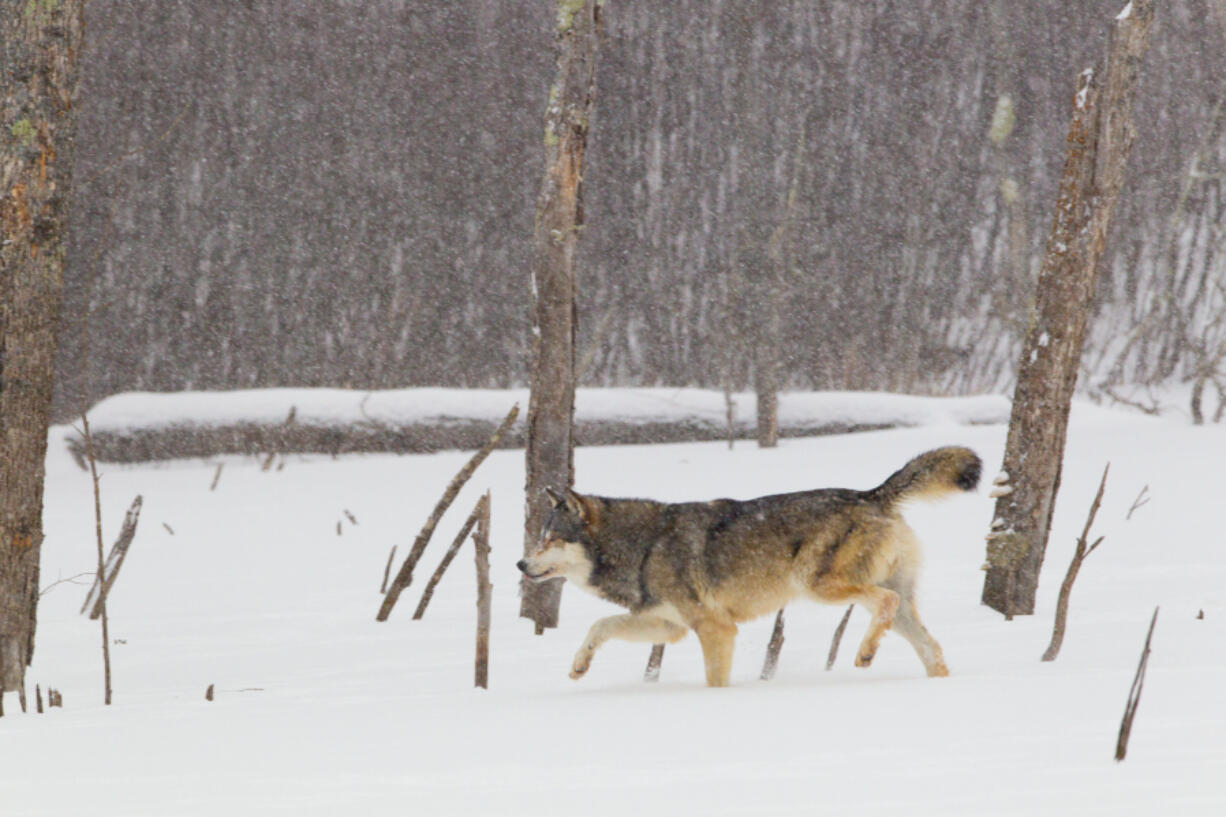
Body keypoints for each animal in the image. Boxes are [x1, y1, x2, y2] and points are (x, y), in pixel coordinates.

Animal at [514, 441, 975, 682]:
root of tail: (872, 494)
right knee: (931, 647)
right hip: (888, 606)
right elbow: (600, 625)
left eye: (551, 538)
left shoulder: (716, 629)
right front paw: (579, 665)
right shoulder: (671, 626)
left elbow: (714, 680)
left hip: (817, 586)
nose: (520, 565)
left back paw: (863, 654)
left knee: (885, 603)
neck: (642, 546)